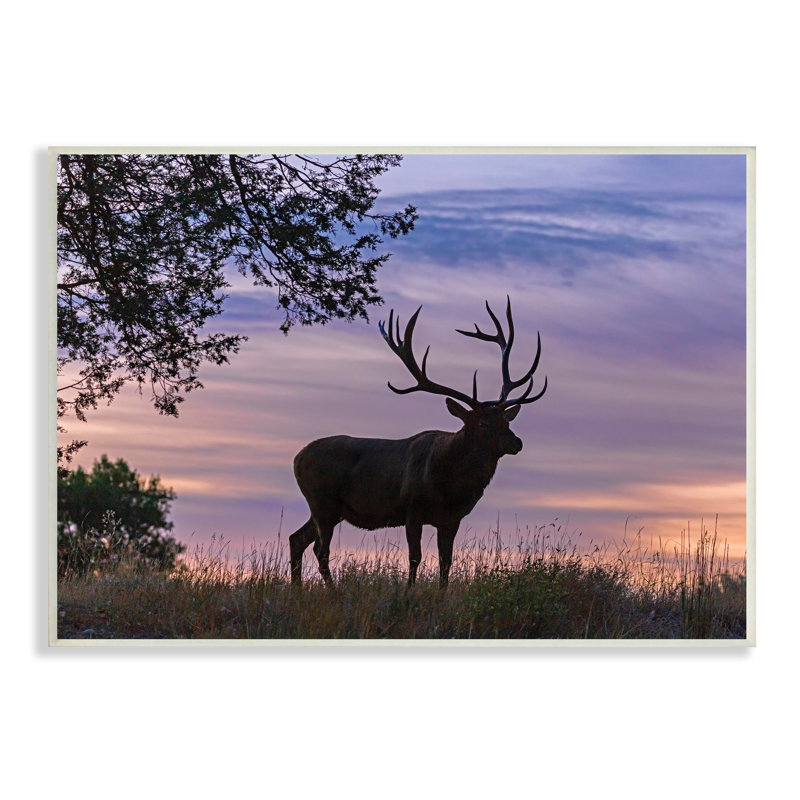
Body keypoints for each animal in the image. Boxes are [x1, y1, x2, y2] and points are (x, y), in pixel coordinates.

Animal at [288, 297, 547, 588]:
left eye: (507, 421)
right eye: (483, 423)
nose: (517, 443)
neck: (450, 485)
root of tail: (297, 458)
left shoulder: (451, 519)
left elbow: (446, 561)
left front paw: (440, 594)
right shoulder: (412, 509)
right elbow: (415, 558)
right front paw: (408, 593)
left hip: (328, 508)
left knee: (297, 538)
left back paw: (297, 590)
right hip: (322, 501)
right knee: (320, 550)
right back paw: (333, 593)